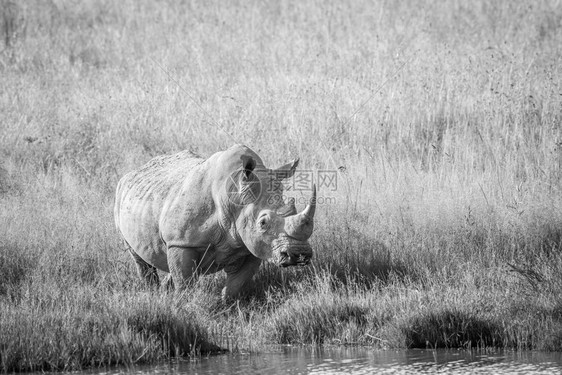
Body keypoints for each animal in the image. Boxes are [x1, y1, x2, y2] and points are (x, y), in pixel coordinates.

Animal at [114, 145, 316, 302]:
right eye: (263, 223)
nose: (299, 254)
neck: (235, 199)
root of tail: (135, 170)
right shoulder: (182, 242)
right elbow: (185, 283)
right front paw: (186, 307)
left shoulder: (252, 246)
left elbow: (236, 285)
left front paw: (226, 306)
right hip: (120, 195)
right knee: (139, 259)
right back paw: (153, 293)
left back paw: (164, 291)